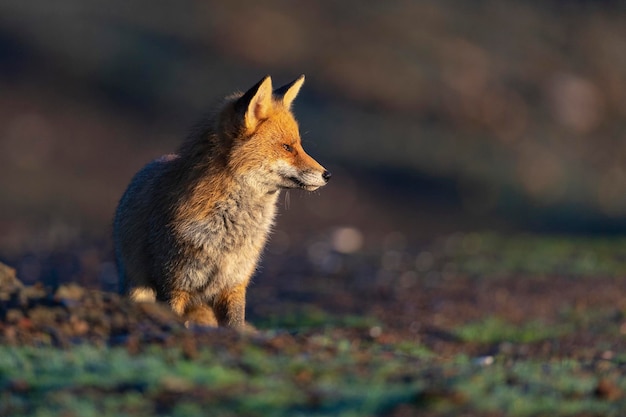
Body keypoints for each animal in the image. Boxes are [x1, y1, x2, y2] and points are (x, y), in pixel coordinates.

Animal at [112, 75, 330, 328]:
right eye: (287, 147)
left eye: (299, 145)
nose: (327, 175)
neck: (227, 234)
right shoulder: (173, 286)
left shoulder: (234, 285)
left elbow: (235, 326)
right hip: (138, 291)